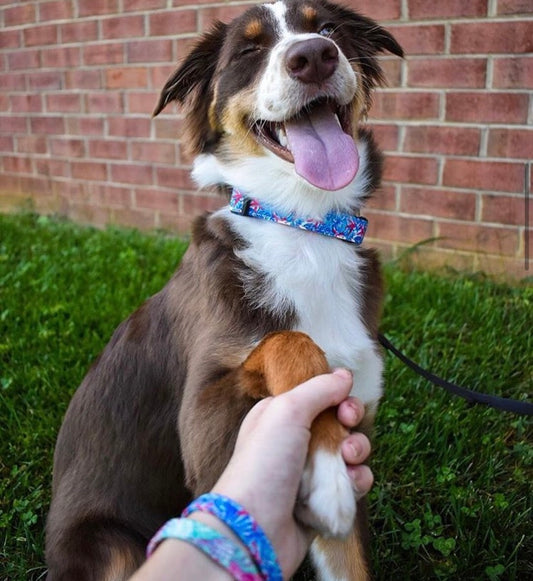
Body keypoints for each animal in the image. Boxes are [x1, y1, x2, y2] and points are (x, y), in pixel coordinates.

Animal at [45, 2, 402, 576]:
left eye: (328, 29)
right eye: (249, 50)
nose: (315, 56)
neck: (303, 225)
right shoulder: (208, 439)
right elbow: (290, 341)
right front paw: (325, 473)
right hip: (111, 545)